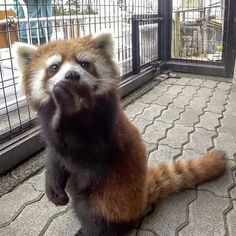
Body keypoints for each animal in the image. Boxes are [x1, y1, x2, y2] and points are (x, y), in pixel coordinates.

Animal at [12, 32, 227, 235]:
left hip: (109, 199)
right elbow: (54, 155)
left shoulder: (105, 135)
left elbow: (84, 159)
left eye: (84, 64)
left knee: (95, 217)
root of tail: (141, 199)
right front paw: (53, 186)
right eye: (55, 67)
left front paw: (69, 106)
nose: (72, 75)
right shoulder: (50, 132)